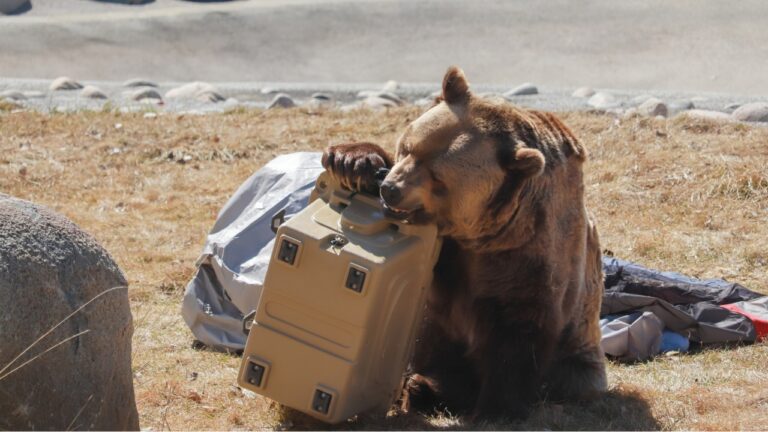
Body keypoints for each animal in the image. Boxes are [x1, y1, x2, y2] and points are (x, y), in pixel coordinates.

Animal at [321, 66, 607, 420]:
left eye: (439, 178)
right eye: (408, 147)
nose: (390, 189)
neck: (482, 235)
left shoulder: (528, 254)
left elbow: (519, 331)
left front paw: (496, 409)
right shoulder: (450, 253)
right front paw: (351, 160)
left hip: (578, 359)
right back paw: (420, 389)